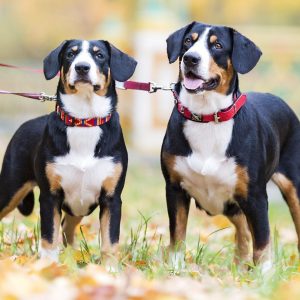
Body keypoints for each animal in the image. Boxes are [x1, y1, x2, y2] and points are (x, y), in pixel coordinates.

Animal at [0, 39, 137, 260]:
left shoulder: (112, 198)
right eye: (70, 55)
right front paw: (48, 265)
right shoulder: (50, 196)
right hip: (10, 189)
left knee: (67, 228)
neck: (83, 121)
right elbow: (49, 238)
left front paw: (109, 266)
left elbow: (110, 241)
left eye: (99, 55)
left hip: (77, 208)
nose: (82, 67)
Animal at [162, 20, 300, 270]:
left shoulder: (255, 196)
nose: (190, 58)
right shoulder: (175, 188)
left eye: (217, 45)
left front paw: (264, 274)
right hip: (230, 202)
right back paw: (239, 267)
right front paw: (175, 269)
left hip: (292, 185)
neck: (207, 117)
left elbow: (263, 241)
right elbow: (177, 235)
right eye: (188, 41)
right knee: (243, 231)